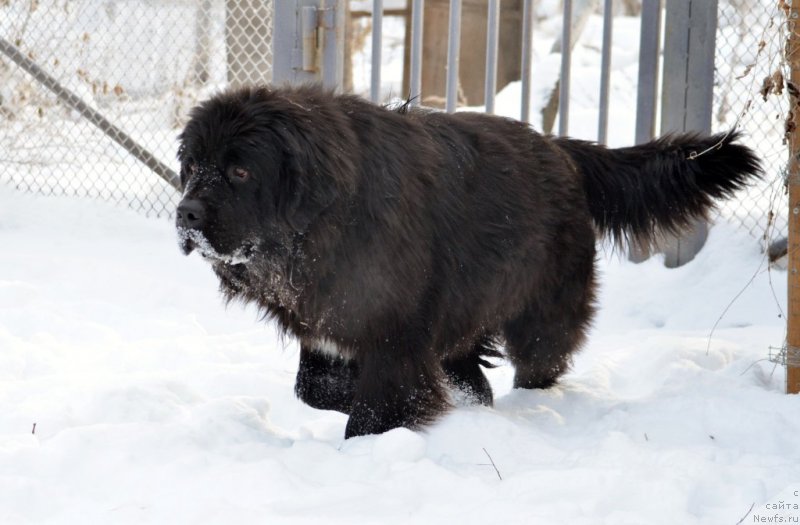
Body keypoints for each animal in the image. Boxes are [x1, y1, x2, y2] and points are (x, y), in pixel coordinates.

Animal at [177, 85, 764, 438]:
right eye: (192, 166)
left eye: (240, 172)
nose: (185, 212)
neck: (328, 219)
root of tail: (561, 148)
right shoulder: (330, 324)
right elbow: (315, 390)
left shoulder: (394, 332)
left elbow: (377, 405)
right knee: (469, 364)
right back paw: (473, 396)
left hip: (542, 311)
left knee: (543, 358)